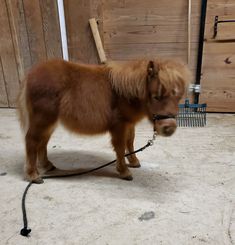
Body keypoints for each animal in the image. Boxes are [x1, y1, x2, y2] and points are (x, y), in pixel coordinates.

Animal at [18, 58, 191, 183]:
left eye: (178, 97)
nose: (168, 128)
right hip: (42, 119)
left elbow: (130, 142)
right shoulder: (119, 125)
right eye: (156, 96)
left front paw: (134, 161)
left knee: (42, 142)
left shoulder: (129, 124)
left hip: (50, 122)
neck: (124, 93)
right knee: (32, 141)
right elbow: (120, 147)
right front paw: (124, 171)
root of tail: (31, 74)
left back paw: (47, 166)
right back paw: (33, 175)